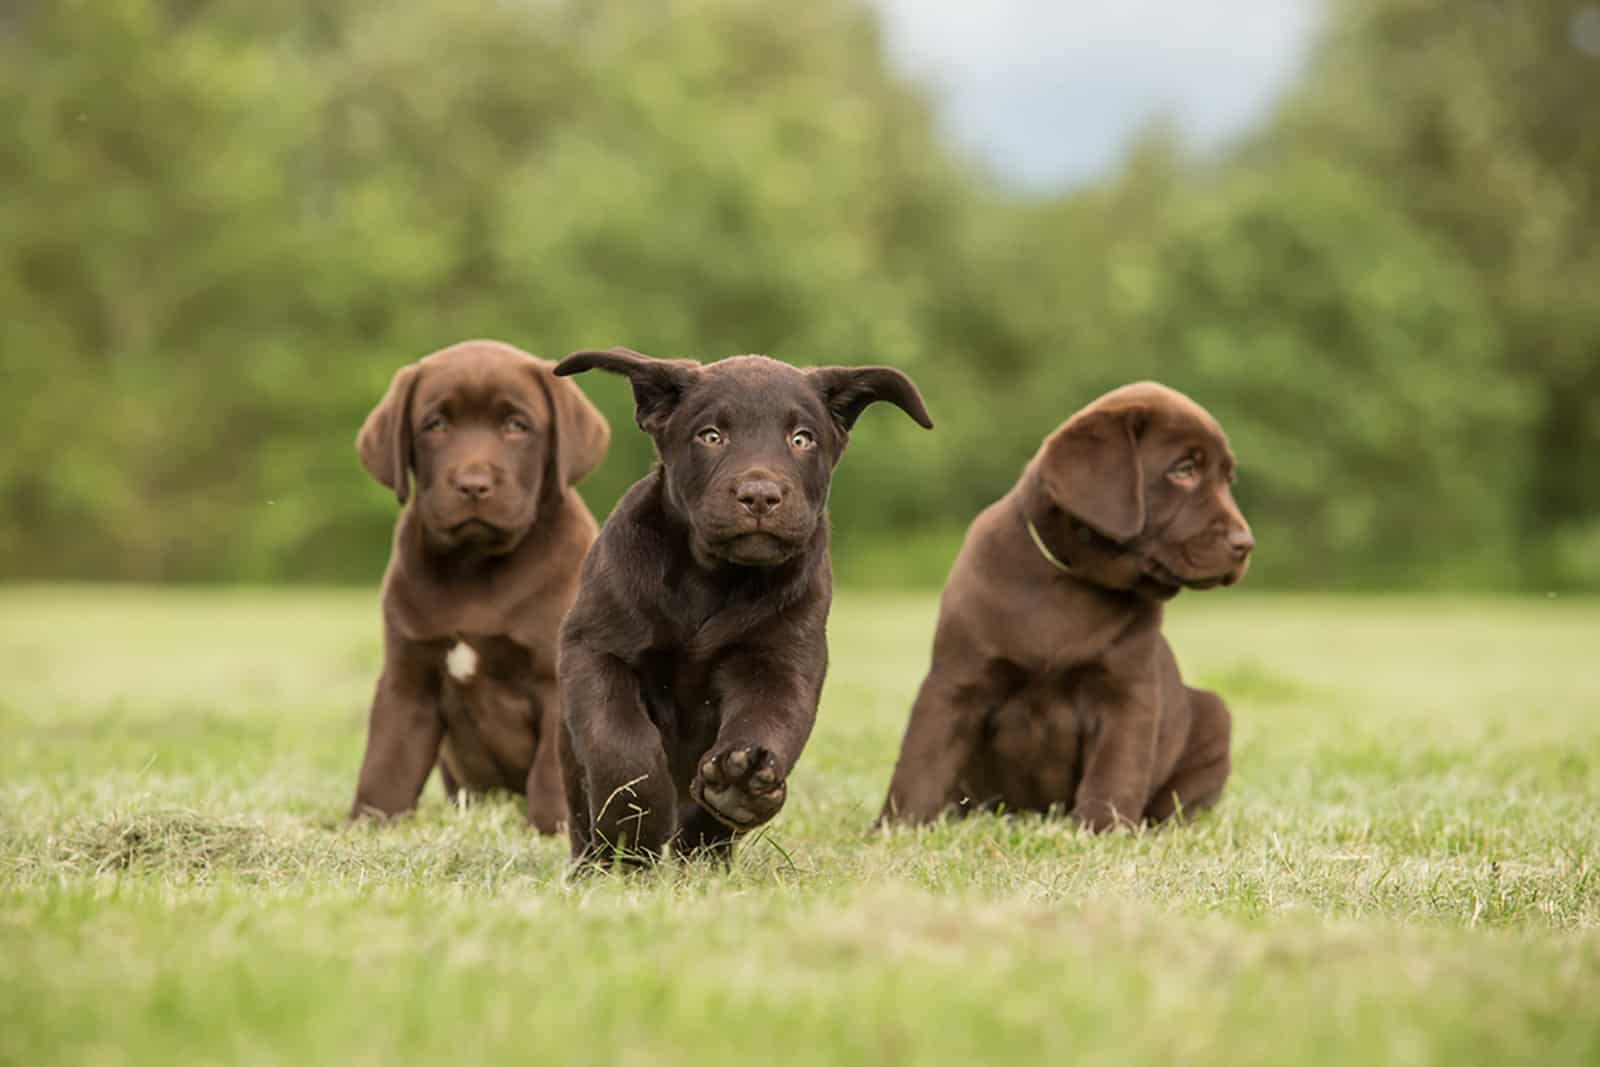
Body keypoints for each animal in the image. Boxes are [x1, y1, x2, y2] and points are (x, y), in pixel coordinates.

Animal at [353, 337, 608, 831]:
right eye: (435, 425)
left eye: (516, 425)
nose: (473, 484)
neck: (474, 565)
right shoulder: (408, 680)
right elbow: (387, 764)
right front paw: (369, 827)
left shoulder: (554, 679)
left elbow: (550, 772)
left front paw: (550, 830)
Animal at [553, 347, 934, 863]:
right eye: (711, 436)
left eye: (802, 439)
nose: (759, 495)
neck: (713, 577)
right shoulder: (596, 648)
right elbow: (618, 740)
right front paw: (637, 823)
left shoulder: (779, 664)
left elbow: (767, 721)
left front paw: (740, 783)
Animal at [883, 383, 1254, 831]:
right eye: (1183, 470)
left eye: (1227, 479)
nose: (1245, 544)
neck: (1071, 582)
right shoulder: (956, 679)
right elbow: (920, 762)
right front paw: (895, 828)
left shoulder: (1126, 695)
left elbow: (1115, 772)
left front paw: (1102, 830)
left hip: (1215, 717)